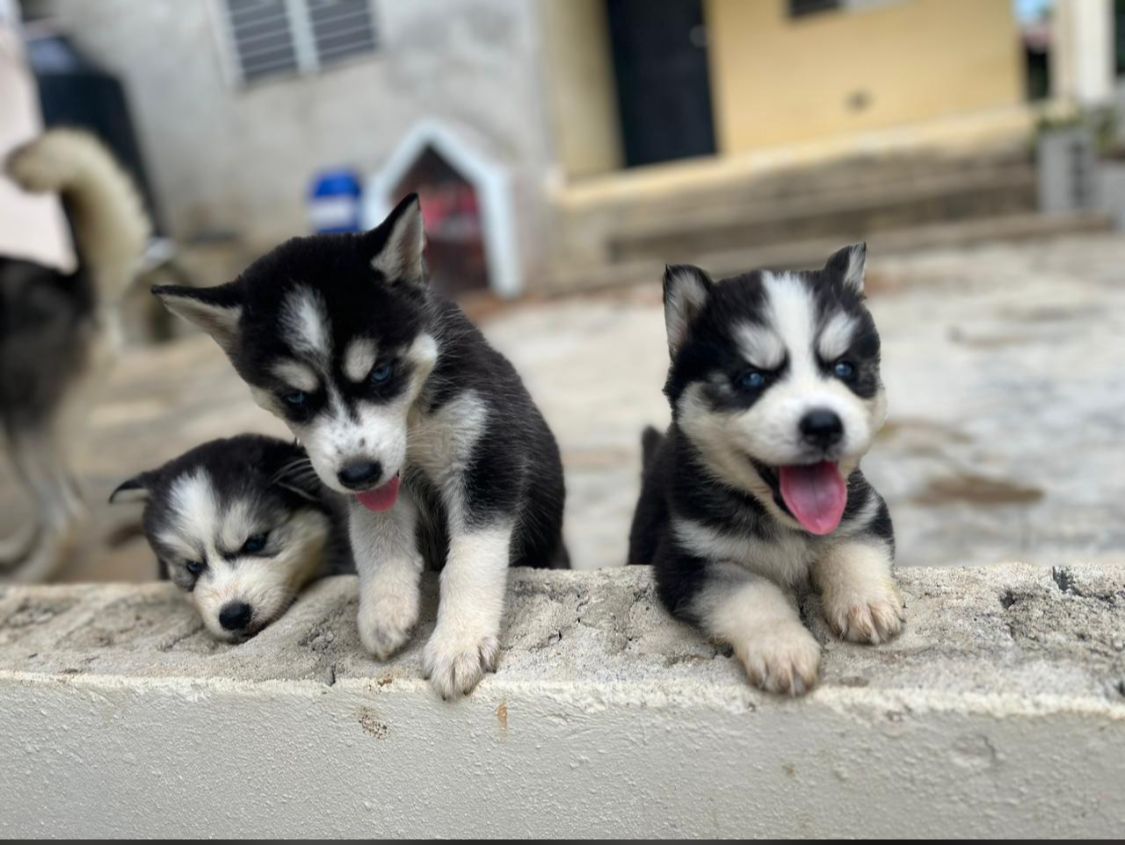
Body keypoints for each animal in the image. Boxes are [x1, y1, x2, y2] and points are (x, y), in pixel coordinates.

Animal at [1, 130, 150, 580]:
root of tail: (69, 285)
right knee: (64, 498)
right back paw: (19, 550)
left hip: (25, 427)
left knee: (66, 512)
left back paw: (31, 575)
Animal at [154, 194, 567, 697]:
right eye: (295, 398)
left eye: (381, 373)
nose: (359, 472)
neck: (414, 420)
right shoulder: (358, 478)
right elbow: (376, 537)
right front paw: (385, 610)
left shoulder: (487, 454)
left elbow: (470, 559)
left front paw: (460, 641)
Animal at [625, 243, 904, 693]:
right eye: (752, 378)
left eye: (844, 368)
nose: (823, 424)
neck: (780, 522)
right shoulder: (686, 557)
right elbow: (750, 591)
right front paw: (782, 649)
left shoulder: (863, 511)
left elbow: (852, 548)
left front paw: (866, 600)